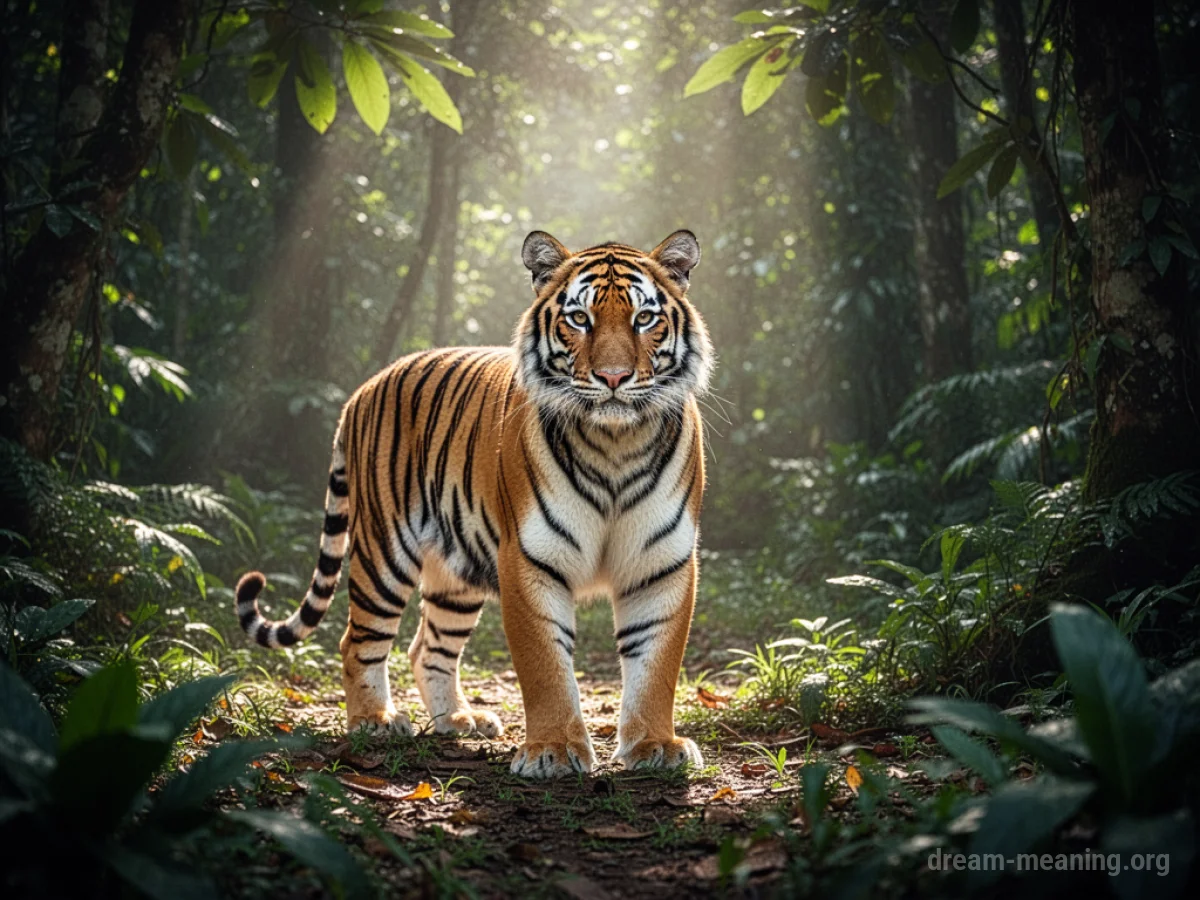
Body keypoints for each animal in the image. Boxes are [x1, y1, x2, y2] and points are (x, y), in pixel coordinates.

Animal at [234, 229, 714, 778]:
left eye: (644, 319)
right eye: (579, 319)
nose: (613, 378)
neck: (616, 444)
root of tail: (363, 389)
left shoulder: (662, 562)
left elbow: (656, 662)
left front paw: (656, 745)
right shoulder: (528, 558)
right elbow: (545, 664)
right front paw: (552, 750)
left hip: (455, 572)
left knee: (428, 648)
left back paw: (458, 720)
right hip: (383, 552)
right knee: (358, 640)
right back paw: (375, 720)